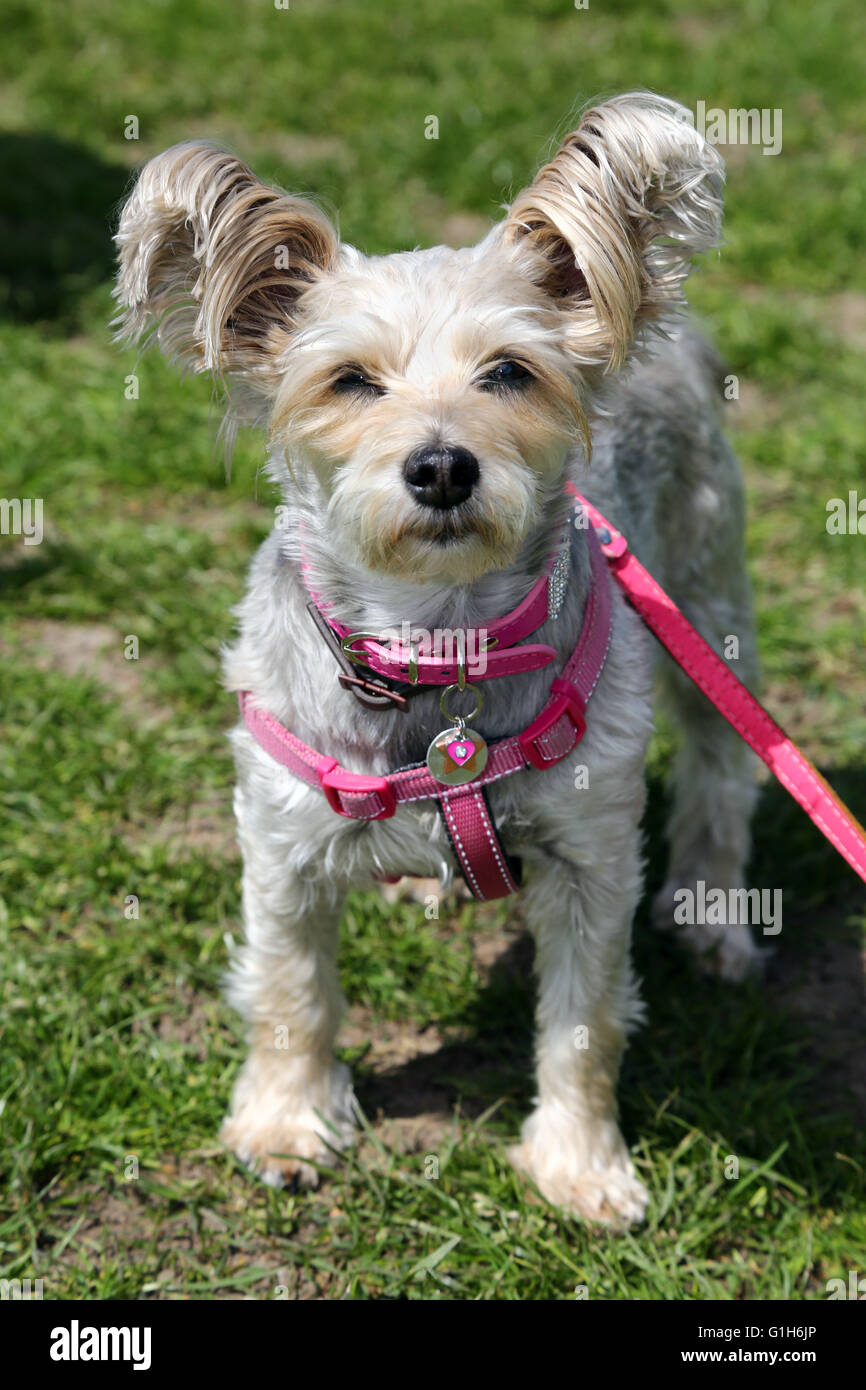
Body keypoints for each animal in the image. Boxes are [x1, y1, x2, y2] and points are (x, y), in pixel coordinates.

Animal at [113, 89, 756, 1228]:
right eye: (349, 380)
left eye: (509, 371)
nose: (443, 465)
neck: (435, 645)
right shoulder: (280, 840)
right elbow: (291, 993)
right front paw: (286, 1125)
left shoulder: (591, 855)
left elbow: (583, 1024)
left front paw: (581, 1167)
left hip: (707, 597)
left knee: (725, 771)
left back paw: (715, 915)